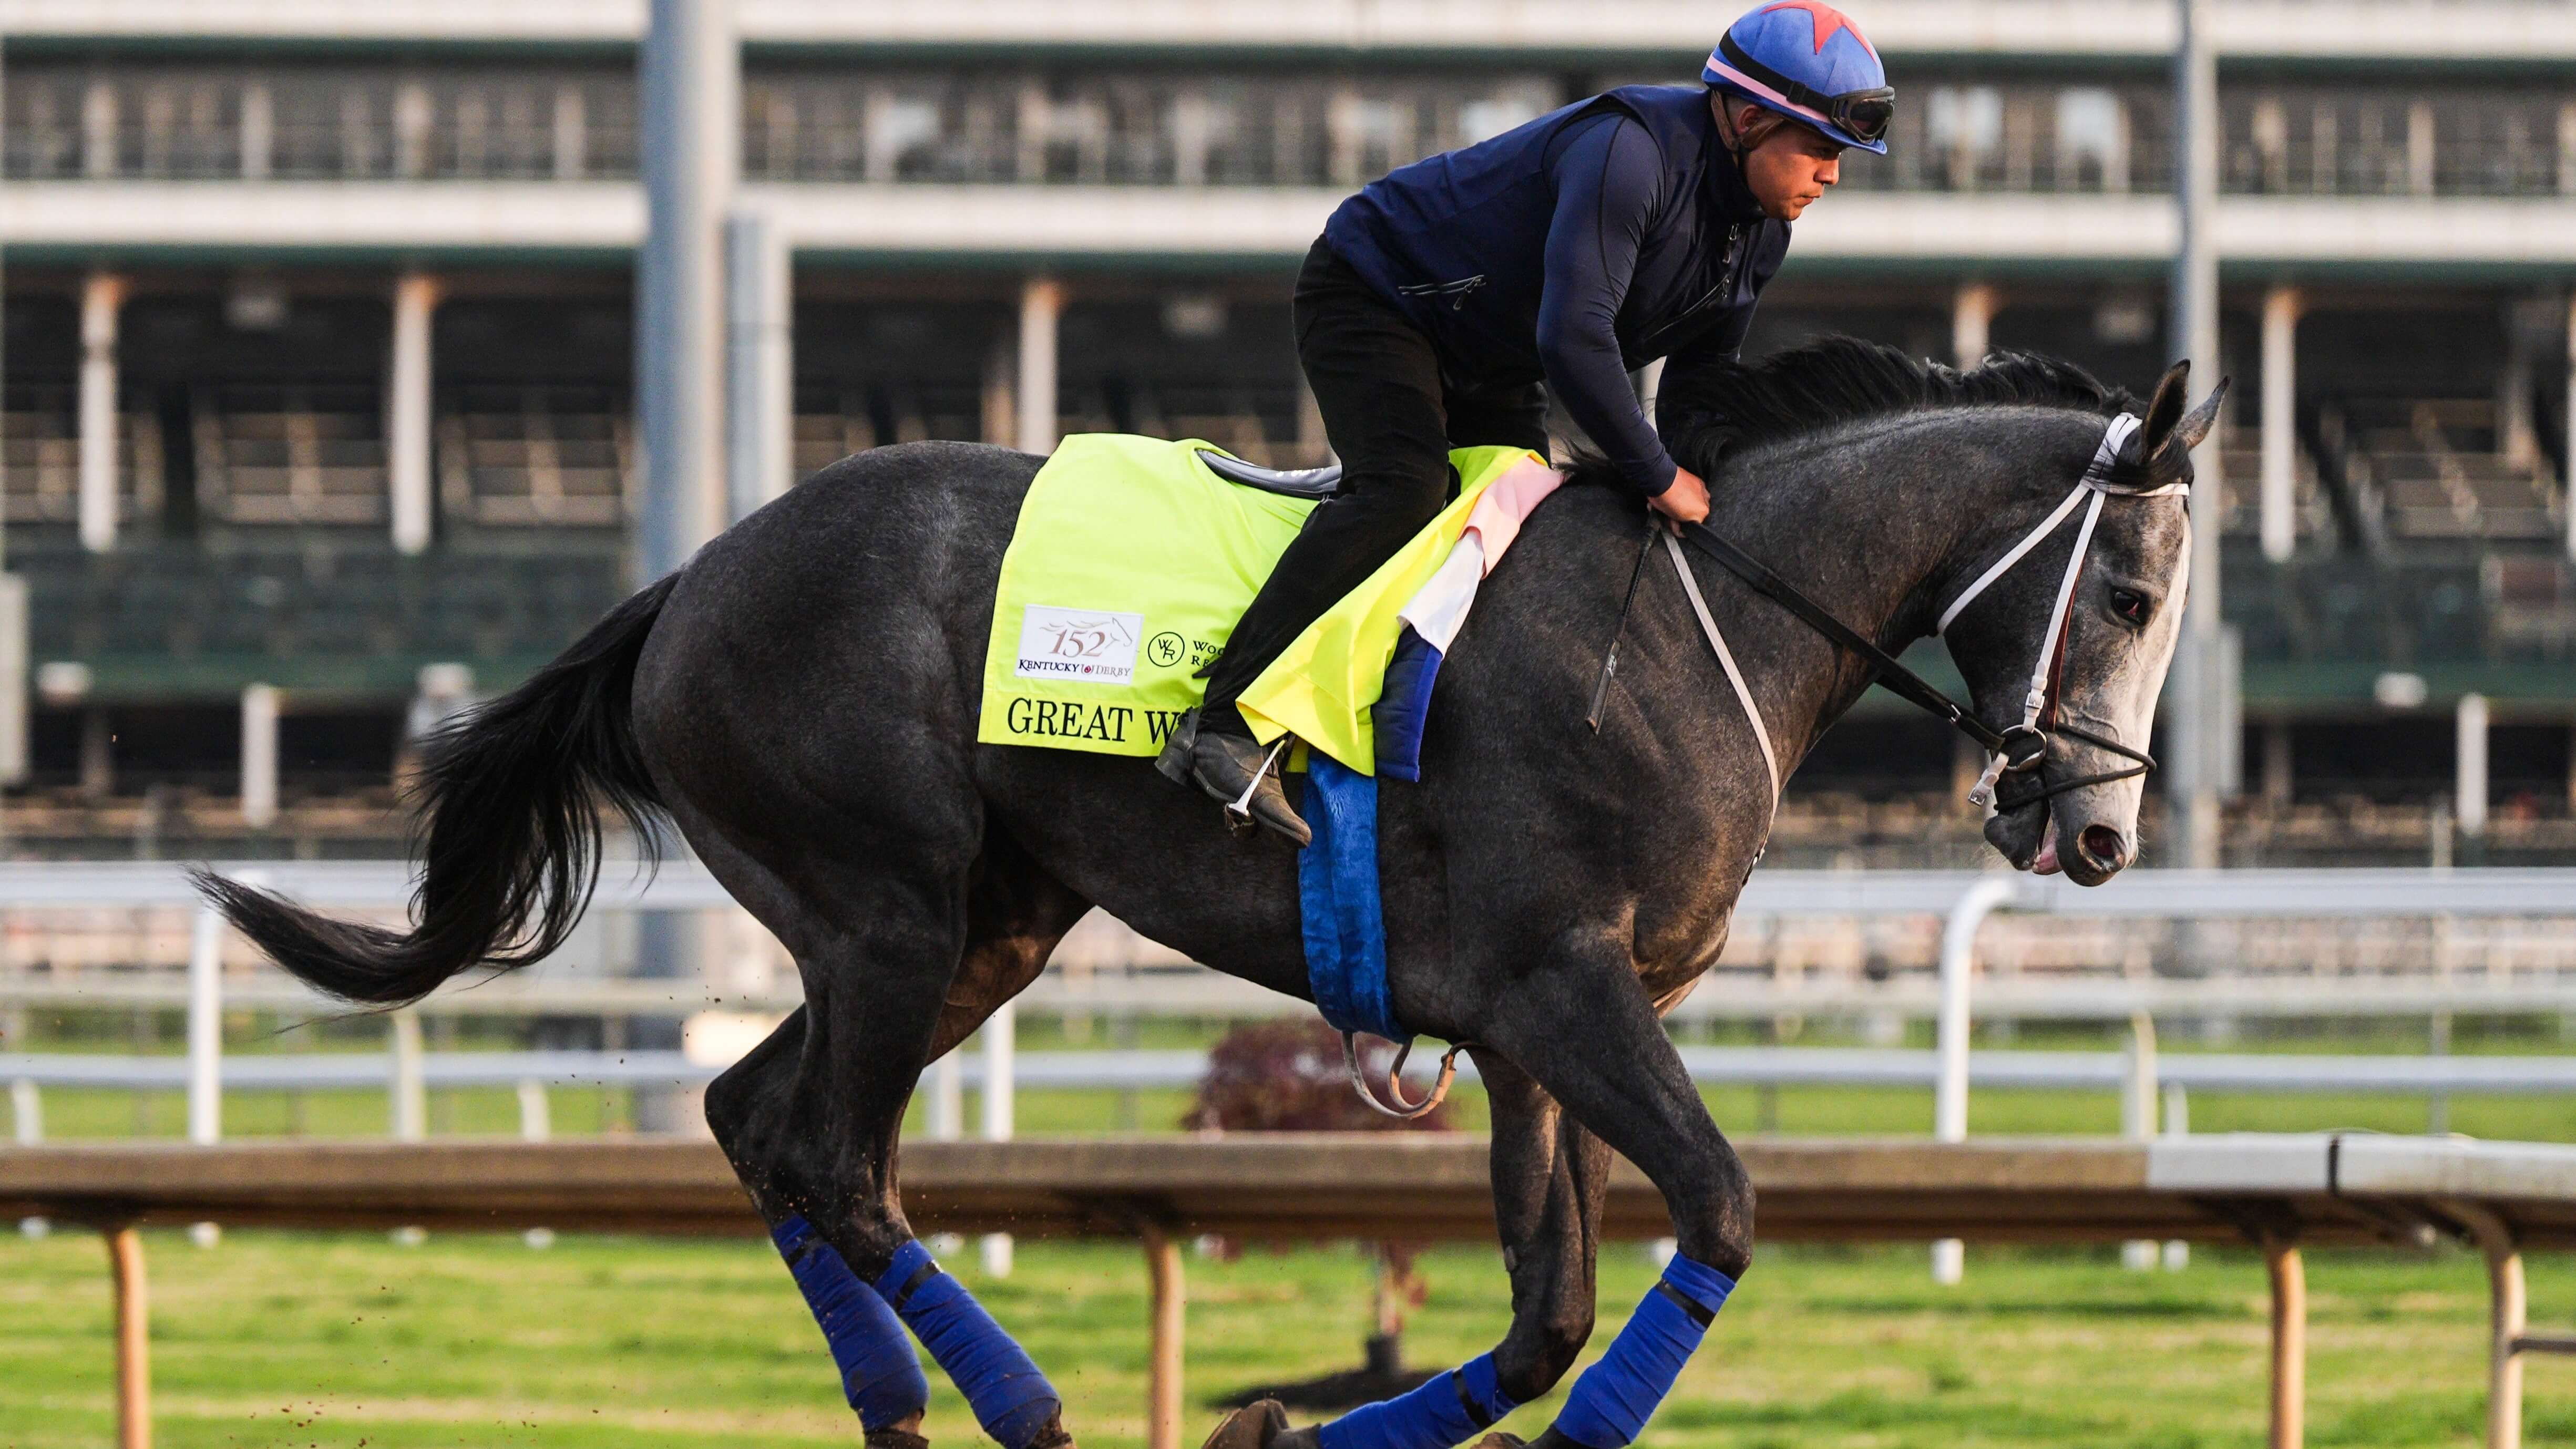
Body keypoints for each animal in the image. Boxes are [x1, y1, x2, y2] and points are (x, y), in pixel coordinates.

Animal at [199, 337, 2220, 1449]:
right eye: (2127, 594)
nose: (2097, 836)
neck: (1696, 613)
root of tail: (690, 577)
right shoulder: (1563, 991)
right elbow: (1711, 1214)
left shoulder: (1527, 1027)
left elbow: (1548, 1310)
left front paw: (1275, 1422)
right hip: (886, 907)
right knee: (834, 1157)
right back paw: (1018, 1407)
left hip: (980, 926)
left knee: (753, 1118)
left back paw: (899, 1403)